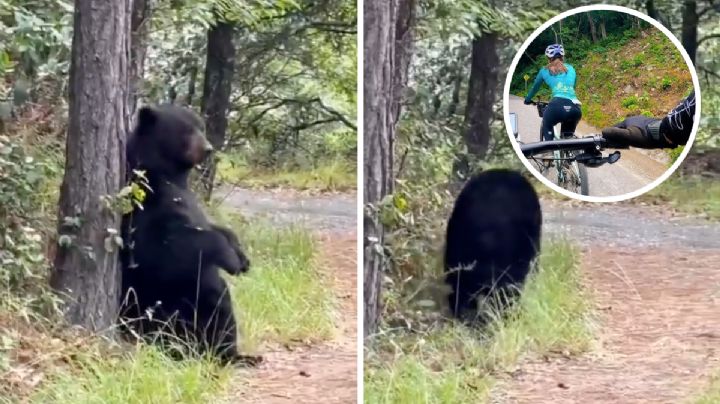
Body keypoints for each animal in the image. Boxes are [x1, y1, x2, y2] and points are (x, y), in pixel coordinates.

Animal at [119, 104, 260, 366]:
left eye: (201, 126)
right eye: (185, 130)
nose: (208, 148)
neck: (169, 176)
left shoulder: (186, 198)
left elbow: (213, 226)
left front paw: (242, 257)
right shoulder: (146, 204)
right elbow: (166, 248)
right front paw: (232, 260)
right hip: (170, 306)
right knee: (215, 303)